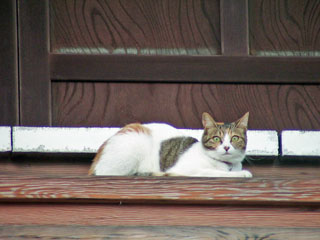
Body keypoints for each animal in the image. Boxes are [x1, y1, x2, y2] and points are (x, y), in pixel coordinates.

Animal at [88, 111, 252, 177]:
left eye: (235, 138)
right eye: (217, 139)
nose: (226, 147)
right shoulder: (188, 169)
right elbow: (213, 172)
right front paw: (242, 174)